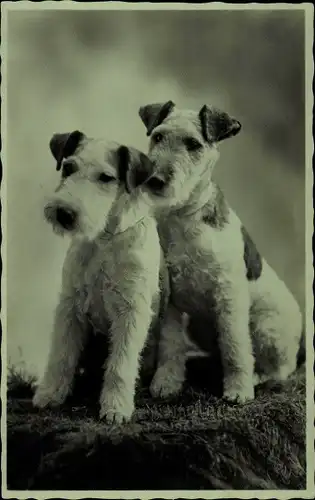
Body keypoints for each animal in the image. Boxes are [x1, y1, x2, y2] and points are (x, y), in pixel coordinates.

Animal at [32, 130, 169, 422]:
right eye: (69, 167)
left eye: (106, 178)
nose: (65, 214)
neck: (103, 239)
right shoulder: (70, 306)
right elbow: (61, 355)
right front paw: (50, 394)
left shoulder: (131, 311)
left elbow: (120, 364)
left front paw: (115, 407)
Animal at [138, 100, 304, 402]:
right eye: (157, 136)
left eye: (193, 144)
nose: (155, 179)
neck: (184, 217)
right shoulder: (172, 299)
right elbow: (171, 345)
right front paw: (166, 383)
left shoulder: (228, 295)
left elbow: (235, 345)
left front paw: (238, 389)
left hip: (267, 327)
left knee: (279, 368)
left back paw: (256, 376)